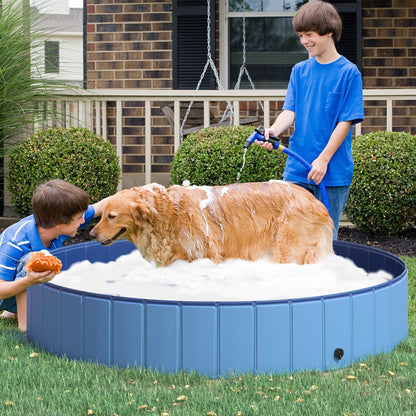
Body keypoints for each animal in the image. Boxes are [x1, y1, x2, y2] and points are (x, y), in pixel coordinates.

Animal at [89, 182, 334, 266]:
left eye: (112, 216)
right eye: (101, 215)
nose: (91, 234)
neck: (168, 214)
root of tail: (317, 202)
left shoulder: (206, 255)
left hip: (288, 249)